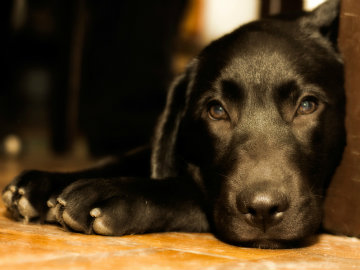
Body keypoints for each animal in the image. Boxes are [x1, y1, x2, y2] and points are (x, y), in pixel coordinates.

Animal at [2, 0, 346, 249]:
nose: (263, 210)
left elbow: (187, 189)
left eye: (307, 105)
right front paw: (46, 181)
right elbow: (133, 154)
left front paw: (112, 192)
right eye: (216, 110)